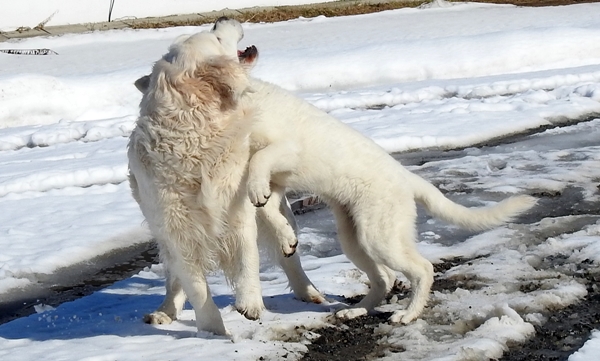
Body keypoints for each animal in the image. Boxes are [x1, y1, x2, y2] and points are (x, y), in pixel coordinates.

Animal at [137, 16, 540, 326]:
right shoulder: (275, 180)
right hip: (355, 237)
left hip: (380, 236)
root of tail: (406, 178)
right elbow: (269, 206)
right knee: (384, 279)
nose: (225, 18)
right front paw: (283, 233)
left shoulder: (283, 150)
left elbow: (259, 164)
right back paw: (357, 311)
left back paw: (408, 315)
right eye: (218, 36)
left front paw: (261, 200)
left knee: (421, 270)